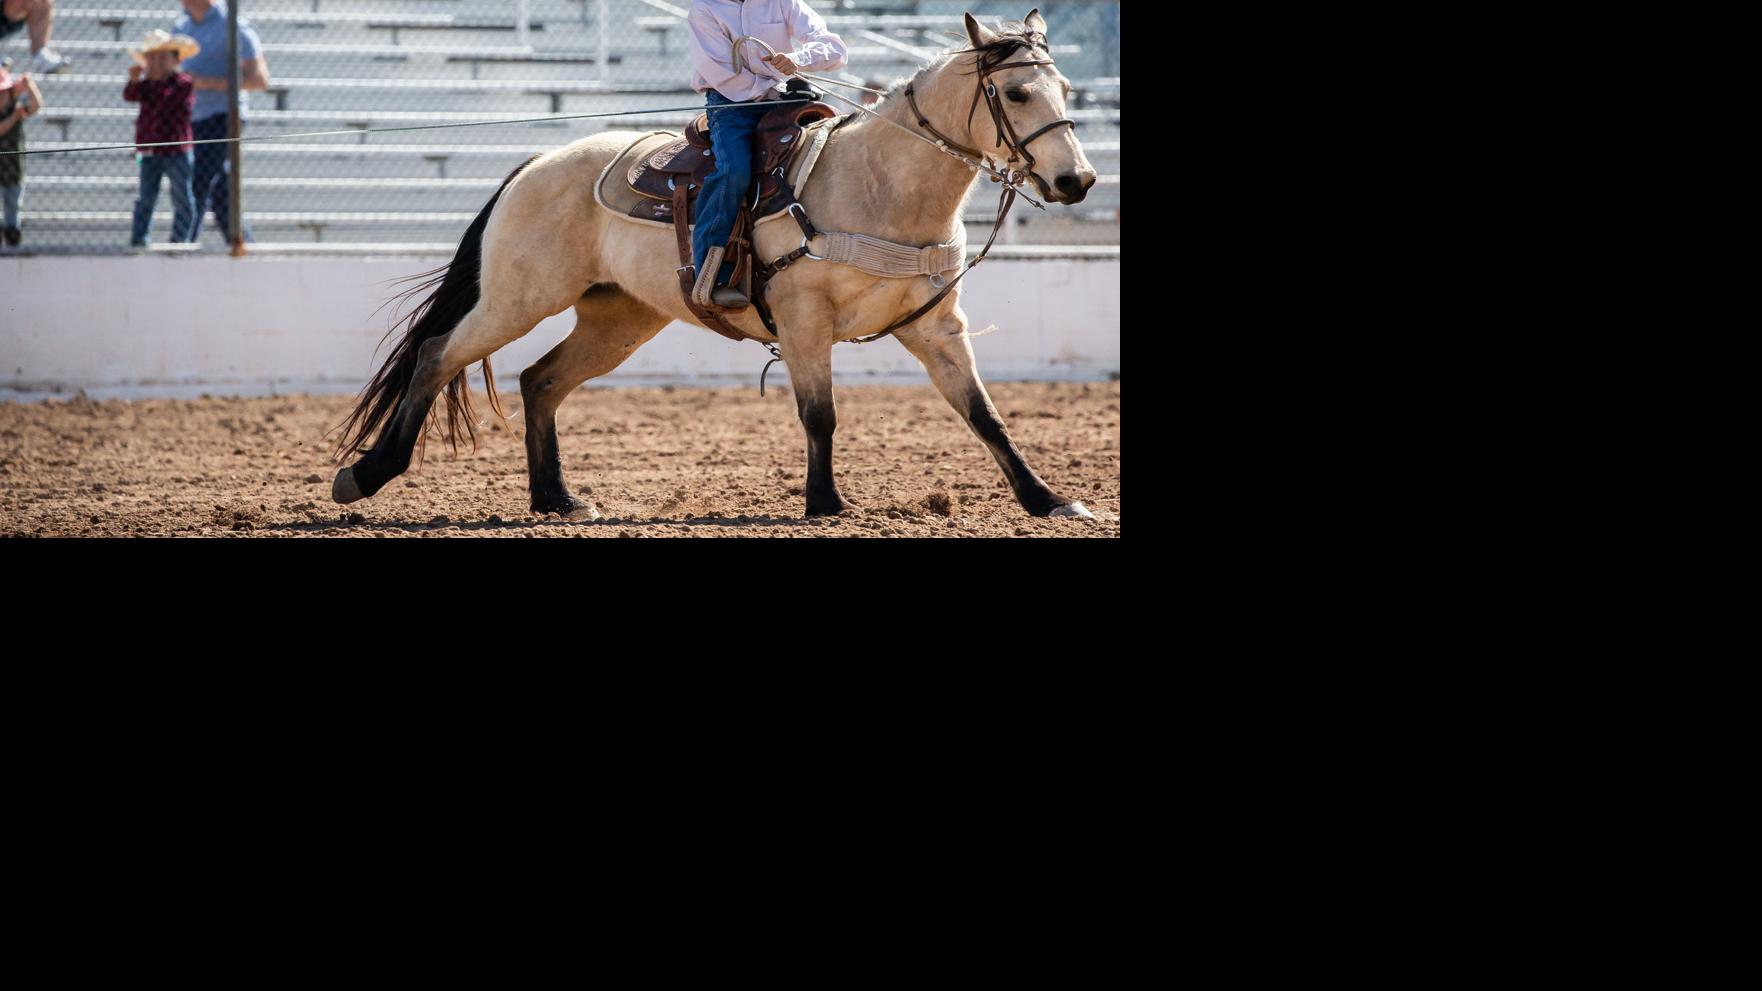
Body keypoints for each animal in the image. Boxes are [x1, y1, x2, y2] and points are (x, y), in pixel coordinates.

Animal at [329, 9, 1092, 518]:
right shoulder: (804, 320)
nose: (1077, 180)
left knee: (539, 380)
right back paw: (365, 476)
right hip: (518, 298)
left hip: (619, 318)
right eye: (1016, 93)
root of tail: (536, 163)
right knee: (438, 353)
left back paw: (558, 500)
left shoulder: (935, 325)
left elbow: (985, 415)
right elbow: (820, 414)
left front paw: (1048, 500)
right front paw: (825, 503)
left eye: (1066, 90)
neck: (878, 185)